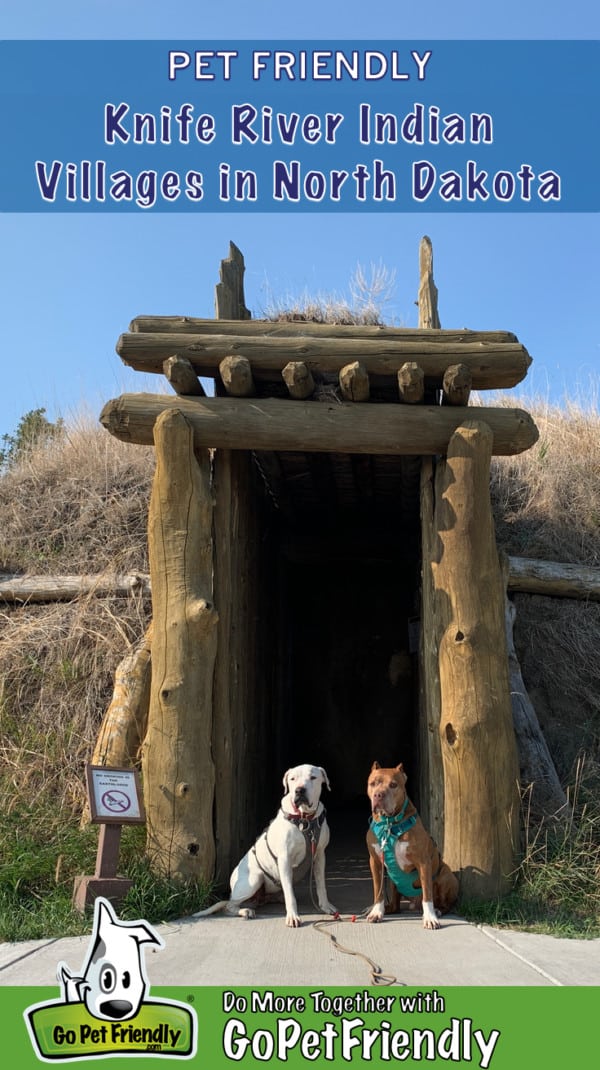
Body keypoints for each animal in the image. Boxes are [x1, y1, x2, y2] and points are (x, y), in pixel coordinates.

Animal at [195, 766, 337, 924]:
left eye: (313, 777)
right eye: (292, 779)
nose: (299, 790)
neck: (305, 819)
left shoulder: (319, 855)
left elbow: (321, 885)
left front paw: (326, 906)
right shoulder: (284, 859)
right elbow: (290, 894)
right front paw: (293, 916)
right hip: (255, 878)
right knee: (229, 906)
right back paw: (245, 911)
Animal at [365, 761, 457, 928]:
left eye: (393, 785)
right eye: (372, 784)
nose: (378, 795)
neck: (389, 824)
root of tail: (414, 904)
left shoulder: (423, 862)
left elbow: (427, 894)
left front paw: (430, 918)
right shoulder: (375, 861)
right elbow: (378, 891)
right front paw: (376, 912)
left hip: (447, 875)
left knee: (445, 903)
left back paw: (438, 911)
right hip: (393, 881)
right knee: (395, 906)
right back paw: (386, 908)